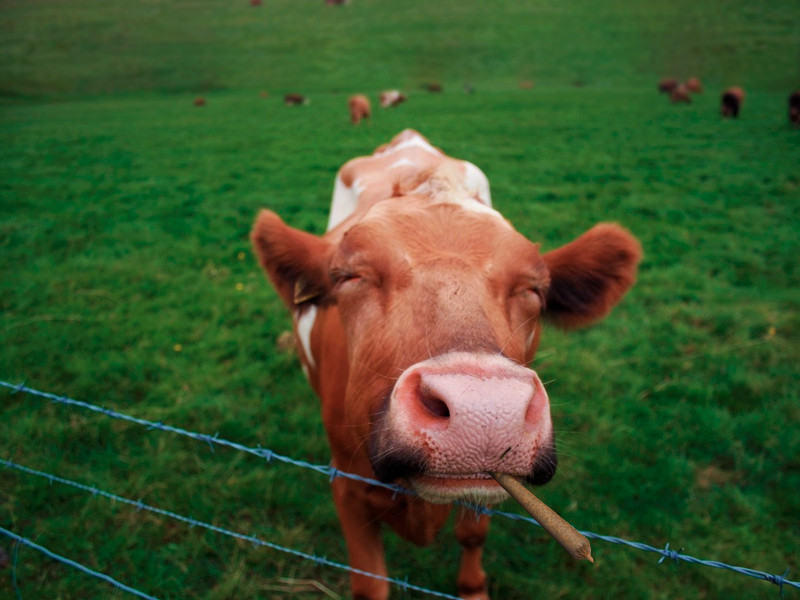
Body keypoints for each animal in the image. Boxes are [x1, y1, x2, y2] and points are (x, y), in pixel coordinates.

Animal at [253, 131, 640, 600]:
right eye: (349, 276)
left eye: (534, 288)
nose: (486, 410)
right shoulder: (345, 484)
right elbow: (370, 584)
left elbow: (472, 535)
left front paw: (472, 588)